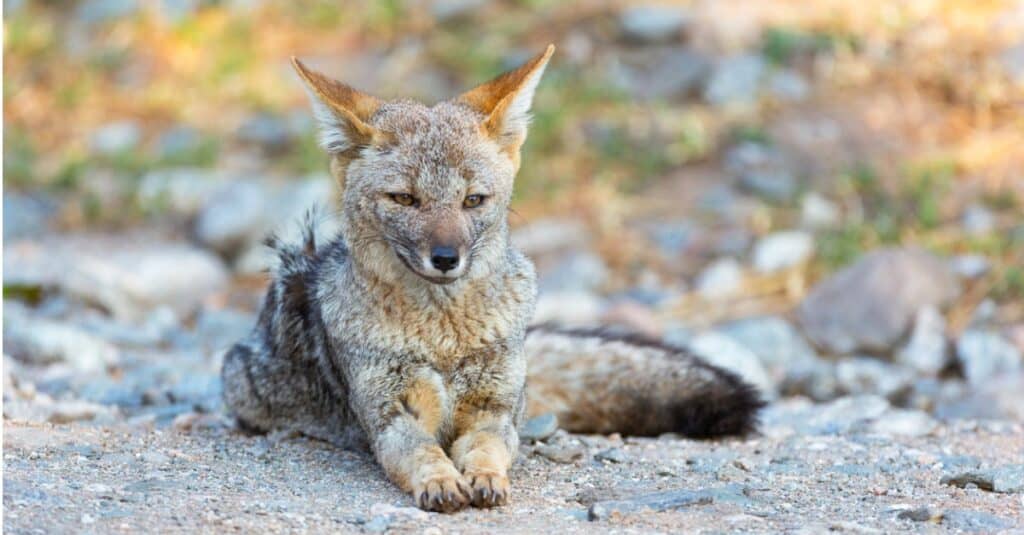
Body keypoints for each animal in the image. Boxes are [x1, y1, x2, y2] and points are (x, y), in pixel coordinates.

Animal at [222, 46, 761, 512]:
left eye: (473, 201)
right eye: (405, 199)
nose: (445, 257)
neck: (442, 340)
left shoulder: (494, 410)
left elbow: (487, 449)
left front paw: (484, 477)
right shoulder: (390, 417)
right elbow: (422, 453)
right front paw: (441, 481)